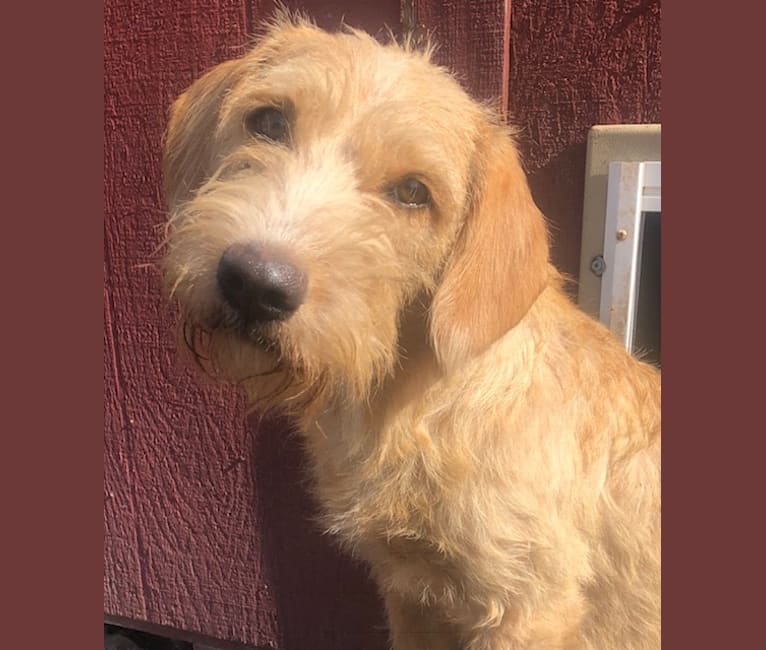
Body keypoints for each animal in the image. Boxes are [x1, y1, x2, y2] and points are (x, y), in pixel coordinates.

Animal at [160, 15, 660, 648]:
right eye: (269, 121)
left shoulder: (530, 605)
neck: (418, 401)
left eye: (413, 192)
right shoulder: (412, 594)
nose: (254, 283)